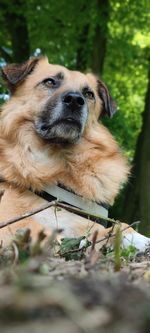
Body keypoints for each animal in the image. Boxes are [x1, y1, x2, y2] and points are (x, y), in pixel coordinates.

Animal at [0, 56, 149, 249]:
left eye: (89, 94)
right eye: (50, 81)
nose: (75, 100)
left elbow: (119, 226)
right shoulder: (10, 217)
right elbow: (41, 231)